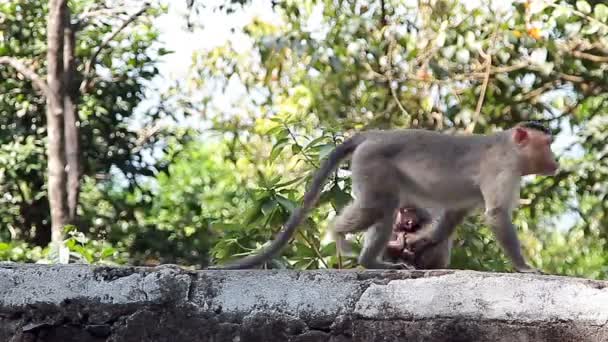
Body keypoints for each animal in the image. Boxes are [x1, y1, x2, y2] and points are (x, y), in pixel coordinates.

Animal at [211, 121, 560, 272]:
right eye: (548, 144)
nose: (556, 160)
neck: (511, 149)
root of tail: (376, 135)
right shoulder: (504, 169)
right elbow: (497, 215)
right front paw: (524, 267)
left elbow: (453, 214)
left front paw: (423, 243)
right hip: (372, 163)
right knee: (381, 205)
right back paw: (346, 241)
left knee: (384, 208)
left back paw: (371, 260)